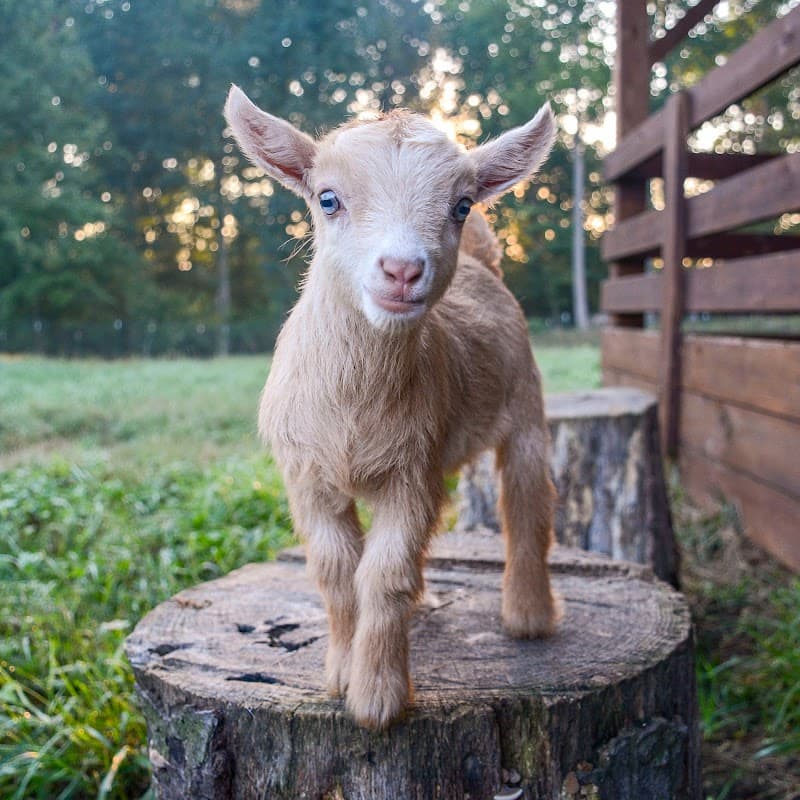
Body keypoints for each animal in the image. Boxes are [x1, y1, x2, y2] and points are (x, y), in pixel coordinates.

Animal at [224, 85, 560, 730]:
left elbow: (384, 574)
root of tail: (483, 265)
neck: (354, 406)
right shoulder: (306, 476)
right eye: (328, 199)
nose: (402, 270)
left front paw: (377, 695)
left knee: (526, 505)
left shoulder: (412, 472)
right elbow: (335, 572)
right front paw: (339, 674)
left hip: (527, 408)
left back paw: (530, 617)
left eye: (460, 205)